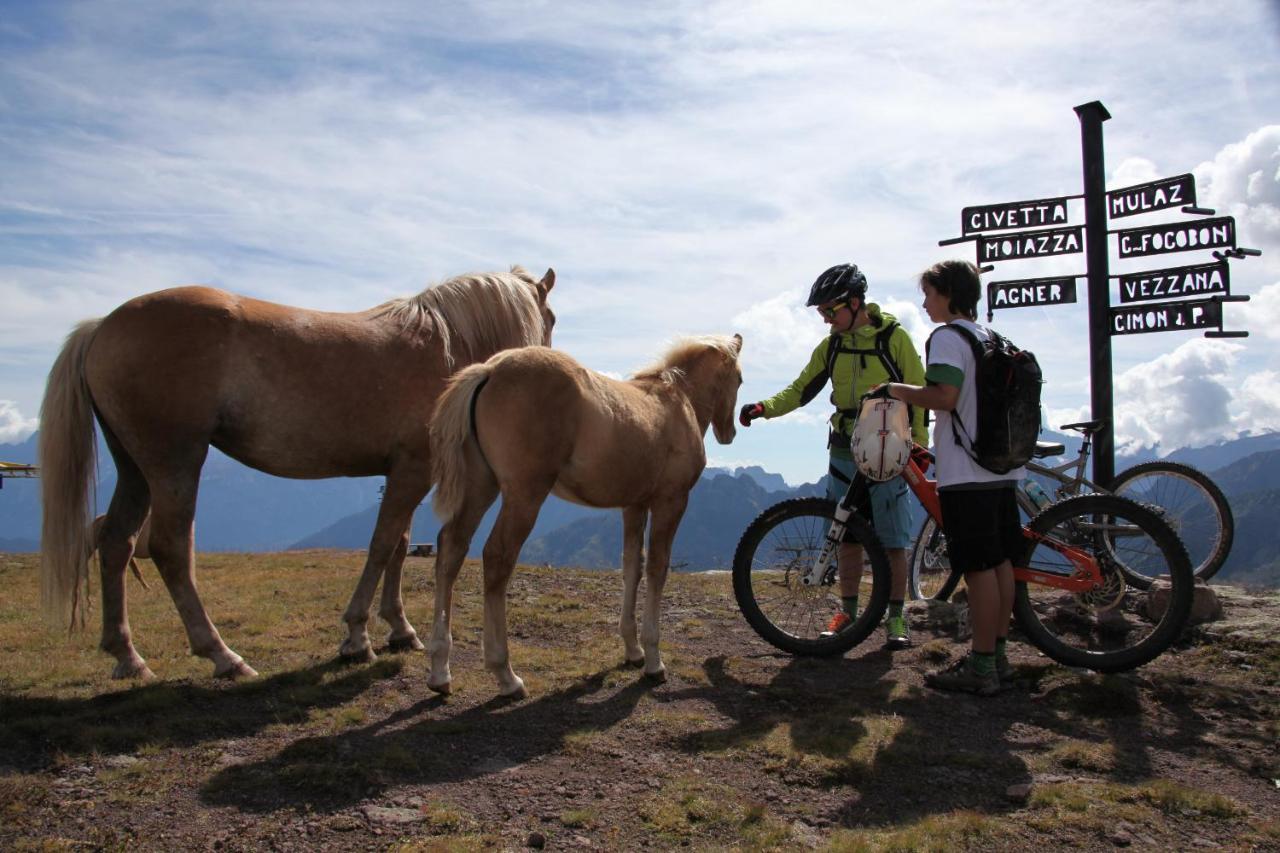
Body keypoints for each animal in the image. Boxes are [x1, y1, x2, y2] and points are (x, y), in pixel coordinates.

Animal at [43, 266, 555, 676]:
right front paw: (357, 637)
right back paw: (222, 656)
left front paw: (399, 629)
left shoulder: (406, 471)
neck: (443, 344)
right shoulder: (413, 471)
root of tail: (102, 327)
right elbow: (382, 545)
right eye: (549, 319)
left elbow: (399, 544)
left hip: (134, 469)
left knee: (116, 541)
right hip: (174, 462)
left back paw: (127, 656)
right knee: (170, 549)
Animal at [430, 333, 747, 696]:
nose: (729, 433)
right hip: (525, 494)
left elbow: (632, 567)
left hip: (481, 485)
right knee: (497, 557)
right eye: (739, 378)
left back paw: (440, 671)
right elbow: (657, 569)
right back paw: (506, 675)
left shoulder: (634, 505)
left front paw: (633, 650)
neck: (678, 400)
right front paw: (654, 661)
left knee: (451, 548)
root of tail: (490, 369)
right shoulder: (671, 501)